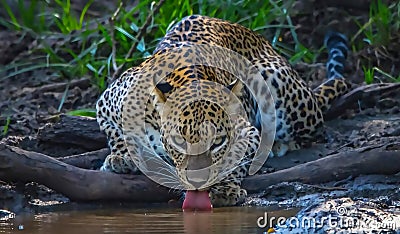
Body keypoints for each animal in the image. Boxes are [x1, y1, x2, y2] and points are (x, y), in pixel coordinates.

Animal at [96, 15, 350, 208]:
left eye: (217, 142)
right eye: (179, 140)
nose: (197, 181)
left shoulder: (247, 132)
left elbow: (235, 156)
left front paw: (225, 189)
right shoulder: (106, 103)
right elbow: (117, 133)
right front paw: (122, 157)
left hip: (274, 82)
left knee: (312, 131)